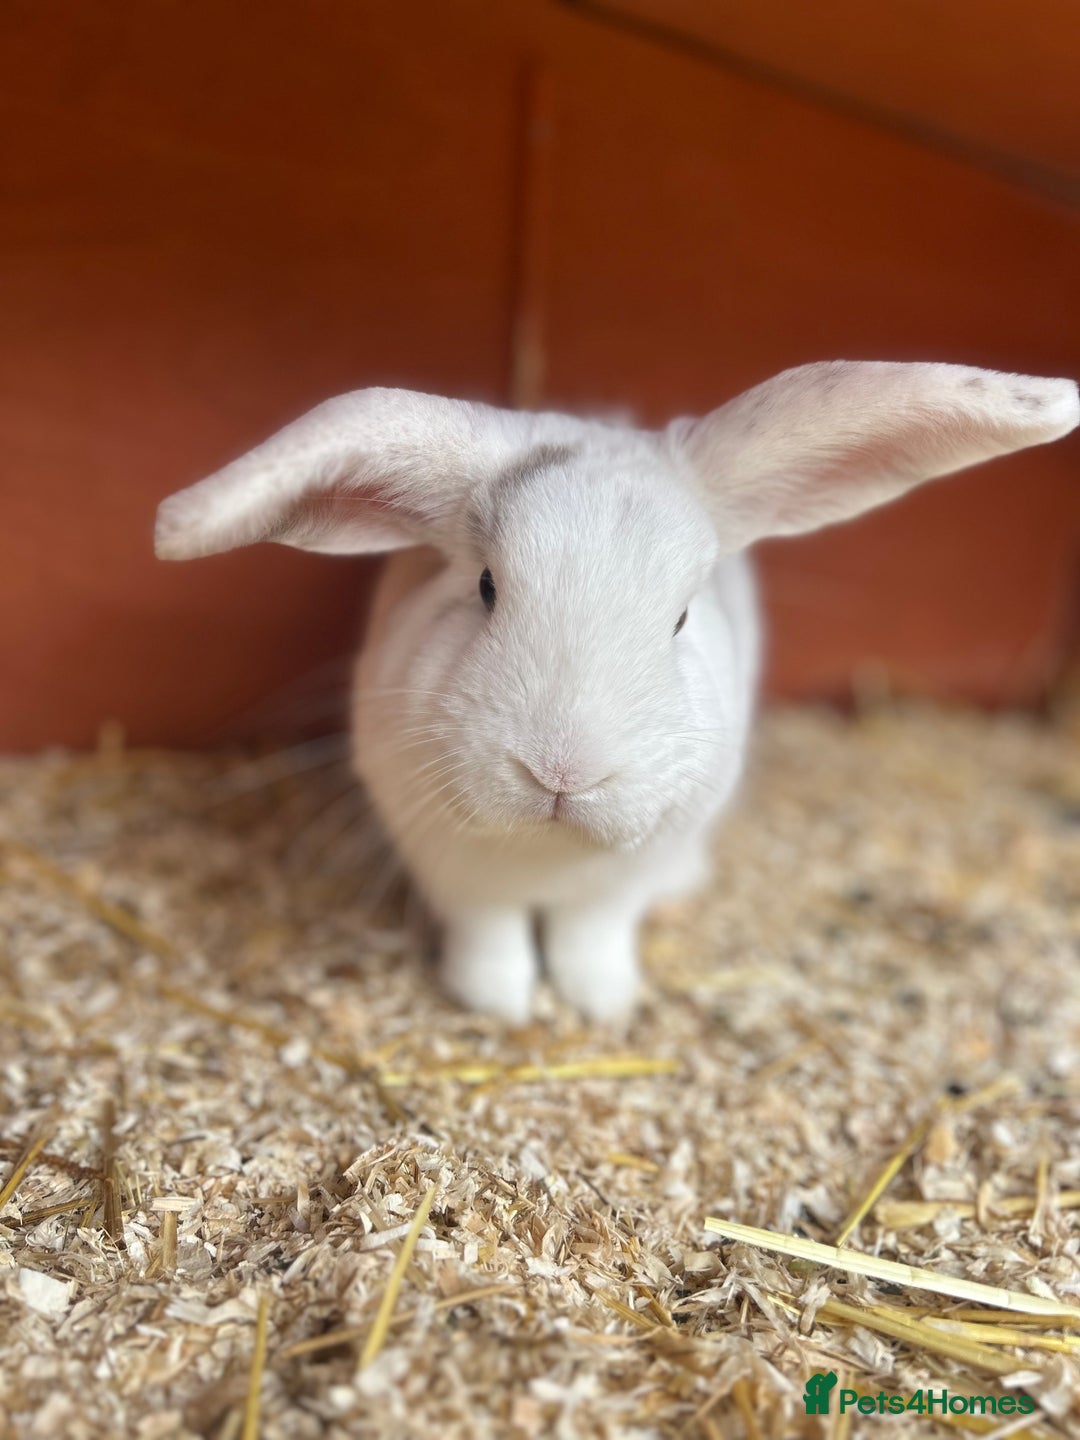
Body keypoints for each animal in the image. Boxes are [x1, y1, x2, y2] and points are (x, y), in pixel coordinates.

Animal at [156, 361, 1078, 1022]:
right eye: (486, 587)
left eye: (680, 615)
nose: (561, 770)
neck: (548, 852)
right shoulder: (455, 871)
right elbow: (491, 936)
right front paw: (500, 1005)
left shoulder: (621, 884)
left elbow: (591, 939)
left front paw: (600, 1005)